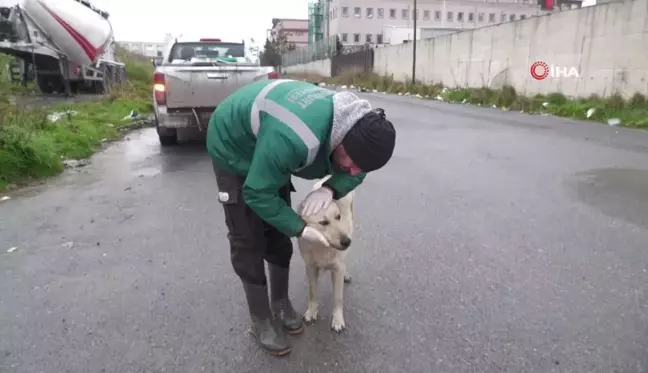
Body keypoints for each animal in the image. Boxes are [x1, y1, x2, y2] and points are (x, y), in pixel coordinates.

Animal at [298, 176, 356, 332]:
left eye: (338, 217)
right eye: (323, 222)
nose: (347, 242)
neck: (322, 248)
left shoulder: (337, 268)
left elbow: (338, 298)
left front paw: (337, 319)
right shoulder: (310, 267)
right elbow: (312, 292)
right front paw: (312, 312)